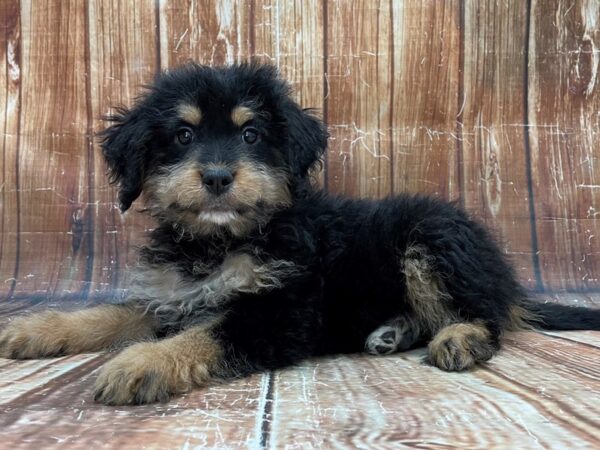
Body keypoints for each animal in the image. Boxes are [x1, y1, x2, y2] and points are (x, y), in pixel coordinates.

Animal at [1, 62, 600, 404]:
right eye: (182, 135)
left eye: (251, 133)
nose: (217, 177)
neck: (222, 241)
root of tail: (504, 276)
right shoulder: (172, 296)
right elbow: (110, 314)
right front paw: (38, 329)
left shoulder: (283, 308)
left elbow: (209, 333)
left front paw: (140, 363)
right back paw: (394, 332)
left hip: (433, 238)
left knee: (487, 318)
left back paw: (460, 339)